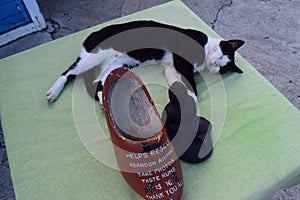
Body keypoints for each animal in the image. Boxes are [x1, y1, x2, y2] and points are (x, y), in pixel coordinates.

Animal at [46, 20, 244, 103]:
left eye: (222, 68)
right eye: (221, 55)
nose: (215, 64)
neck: (206, 47)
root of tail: (93, 33)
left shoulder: (171, 67)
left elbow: (176, 80)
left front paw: (183, 96)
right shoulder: (182, 60)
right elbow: (191, 82)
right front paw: (192, 96)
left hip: (118, 63)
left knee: (97, 82)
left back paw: (103, 99)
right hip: (94, 55)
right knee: (69, 72)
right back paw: (54, 91)